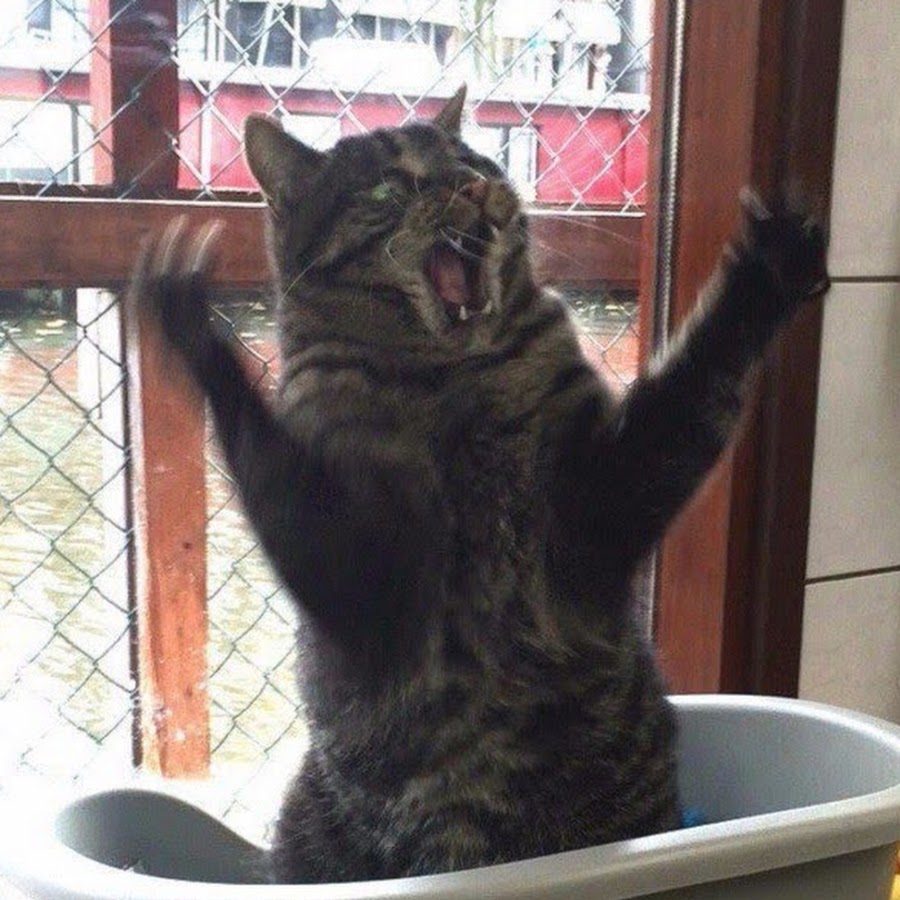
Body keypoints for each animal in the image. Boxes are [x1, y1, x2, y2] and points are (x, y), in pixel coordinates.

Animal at [130, 86, 830, 883]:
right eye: (388, 187)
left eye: (469, 159)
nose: (465, 186)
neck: (454, 382)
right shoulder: (351, 566)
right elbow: (266, 455)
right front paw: (189, 318)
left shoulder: (607, 497)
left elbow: (698, 382)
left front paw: (768, 268)